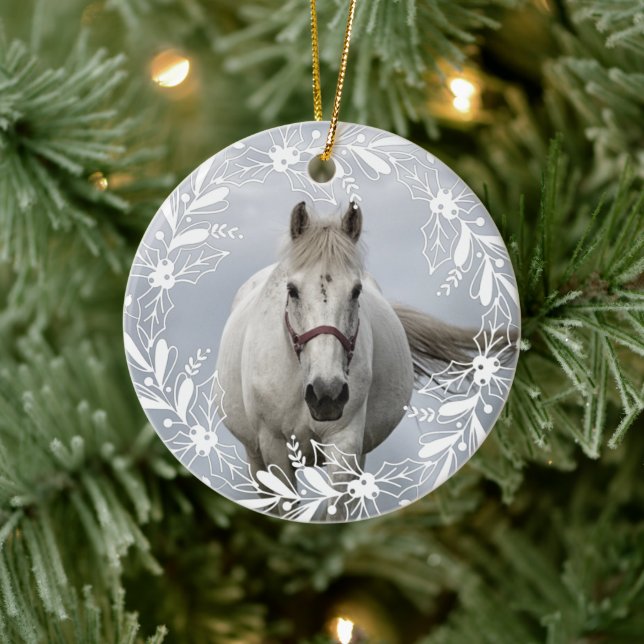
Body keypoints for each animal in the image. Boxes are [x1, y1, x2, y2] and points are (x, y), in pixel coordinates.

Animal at [216, 201, 478, 491]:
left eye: (356, 291)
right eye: (292, 290)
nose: (326, 393)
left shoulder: (345, 442)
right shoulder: (274, 448)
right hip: (255, 457)